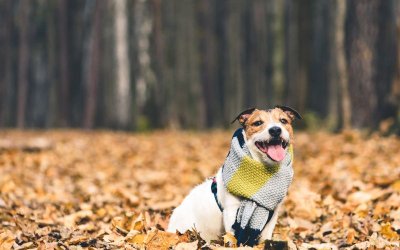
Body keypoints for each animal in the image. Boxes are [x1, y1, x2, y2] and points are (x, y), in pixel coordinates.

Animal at [167, 105, 302, 246]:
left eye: (283, 121)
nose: (275, 130)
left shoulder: (272, 215)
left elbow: (265, 238)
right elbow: (234, 238)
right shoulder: (231, 212)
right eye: (258, 123)